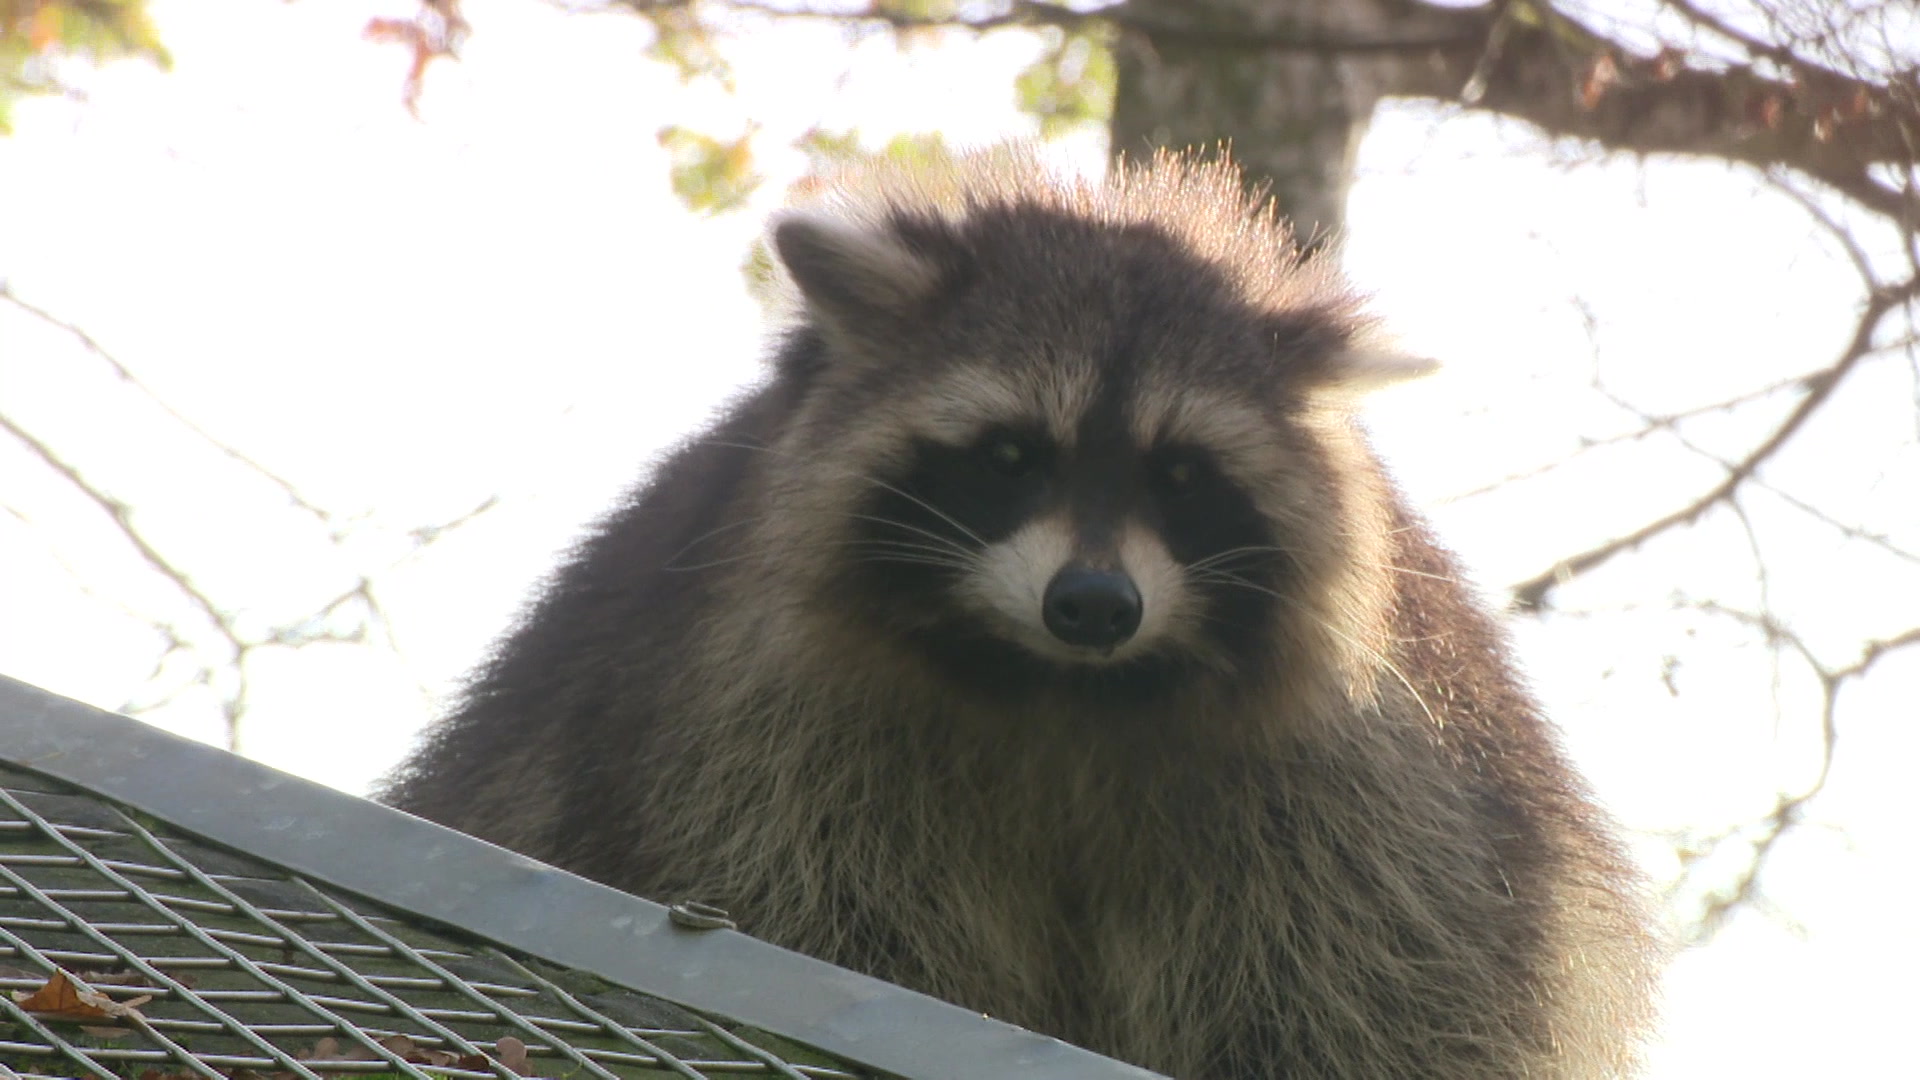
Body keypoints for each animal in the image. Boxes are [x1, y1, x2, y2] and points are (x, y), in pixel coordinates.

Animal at [382, 148, 1661, 1079]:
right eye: (1009, 455)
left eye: (1181, 476)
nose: (1093, 603)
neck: (1059, 688)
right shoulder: (748, 722)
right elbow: (812, 906)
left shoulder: (1368, 783)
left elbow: (1360, 988)